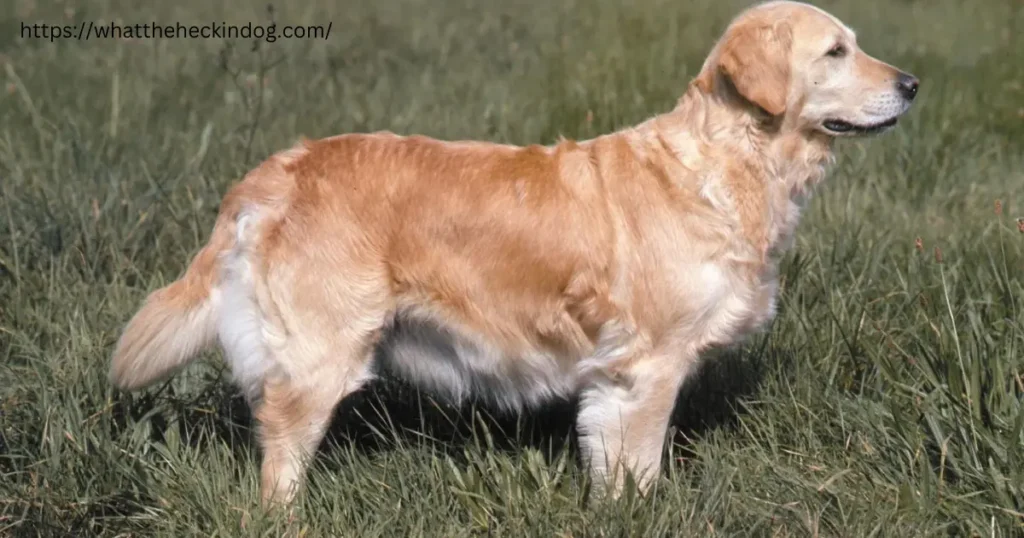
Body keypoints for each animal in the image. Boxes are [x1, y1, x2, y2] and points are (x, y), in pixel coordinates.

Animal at [110, 1, 921, 504]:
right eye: (836, 51)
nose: (914, 84)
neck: (728, 164)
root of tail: (275, 169)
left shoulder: (611, 377)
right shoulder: (650, 365)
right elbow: (642, 464)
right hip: (319, 354)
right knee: (280, 458)